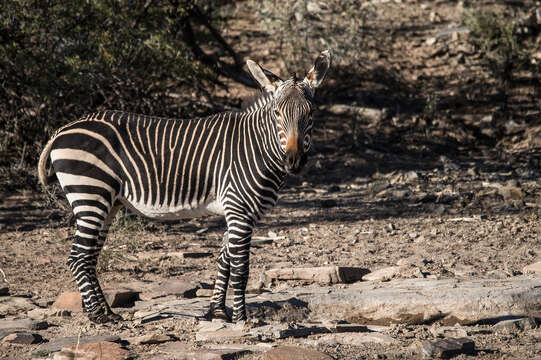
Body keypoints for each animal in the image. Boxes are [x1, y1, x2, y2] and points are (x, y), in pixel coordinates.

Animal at [37, 50, 330, 324]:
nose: (293, 160)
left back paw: (103, 311)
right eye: (277, 113)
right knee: (78, 257)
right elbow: (240, 267)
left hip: (108, 202)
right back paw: (99, 315)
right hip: (91, 194)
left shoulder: (234, 211)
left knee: (89, 256)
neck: (257, 147)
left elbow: (223, 260)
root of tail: (63, 129)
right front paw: (240, 318)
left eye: (311, 113)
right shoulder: (239, 210)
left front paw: (217, 311)